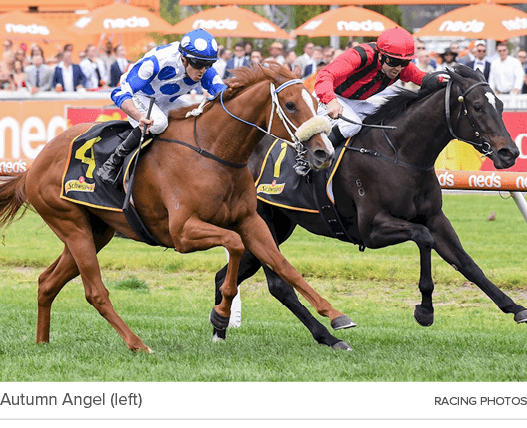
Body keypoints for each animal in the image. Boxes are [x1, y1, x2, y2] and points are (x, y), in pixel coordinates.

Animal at [0, 62, 356, 352]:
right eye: (291, 105)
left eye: (315, 102)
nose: (324, 152)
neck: (213, 151)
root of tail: (33, 166)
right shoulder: (183, 232)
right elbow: (235, 245)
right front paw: (221, 315)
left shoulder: (250, 221)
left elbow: (284, 266)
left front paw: (336, 317)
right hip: (71, 225)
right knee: (95, 292)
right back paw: (138, 344)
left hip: (96, 231)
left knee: (47, 282)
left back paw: (42, 342)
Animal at [214, 66, 527, 348]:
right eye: (477, 107)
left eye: (500, 105)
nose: (509, 153)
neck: (398, 154)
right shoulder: (373, 229)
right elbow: (423, 237)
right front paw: (425, 311)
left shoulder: (436, 218)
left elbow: (467, 263)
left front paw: (515, 308)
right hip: (262, 222)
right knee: (279, 286)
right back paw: (329, 336)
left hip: (274, 226)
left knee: (224, 275)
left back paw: (219, 327)